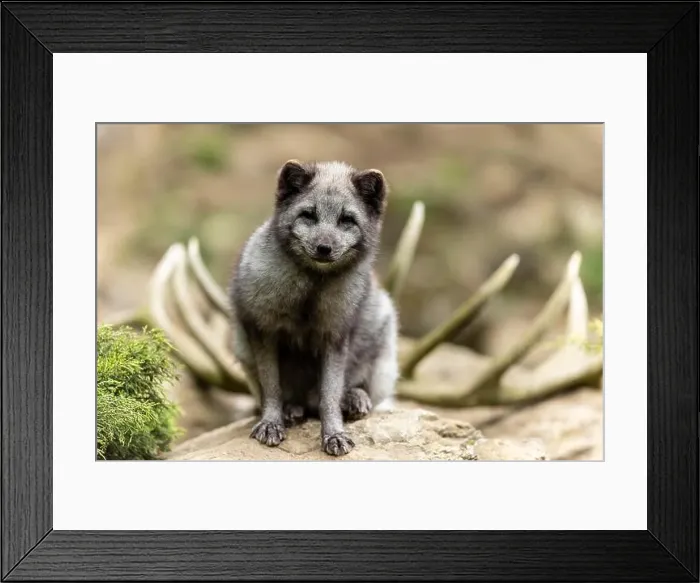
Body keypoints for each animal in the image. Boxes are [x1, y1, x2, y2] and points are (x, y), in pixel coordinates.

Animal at [228, 159, 399, 456]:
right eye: (308, 215)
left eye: (347, 220)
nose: (324, 248)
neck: (310, 291)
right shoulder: (263, 331)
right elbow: (272, 388)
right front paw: (271, 423)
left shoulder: (335, 336)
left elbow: (329, 395)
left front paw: (334, 434)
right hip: (241, 346)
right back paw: (291, 410)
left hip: (383, 337)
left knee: (354, 391)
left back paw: (353, 399)